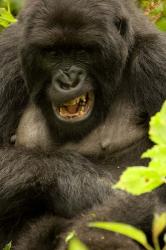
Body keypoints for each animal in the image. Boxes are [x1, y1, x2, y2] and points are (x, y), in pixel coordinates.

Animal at [0, 0, 165, 249]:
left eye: (82, 51)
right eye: (52, 53)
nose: (69, 81)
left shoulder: (157, 61)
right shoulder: (7, 57)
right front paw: (83, 187)